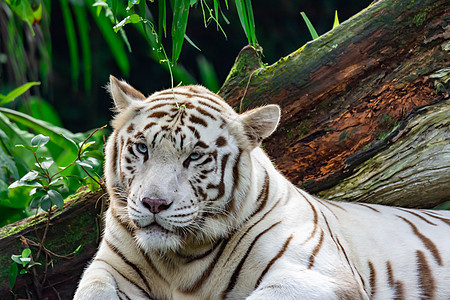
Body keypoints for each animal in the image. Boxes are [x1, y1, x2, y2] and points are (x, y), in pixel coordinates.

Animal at [74, 76, 450, 298]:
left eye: (194, 156)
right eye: (141, 148)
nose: (153, 203)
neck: (179, 262)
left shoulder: (318, 275)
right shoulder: (108, 268)